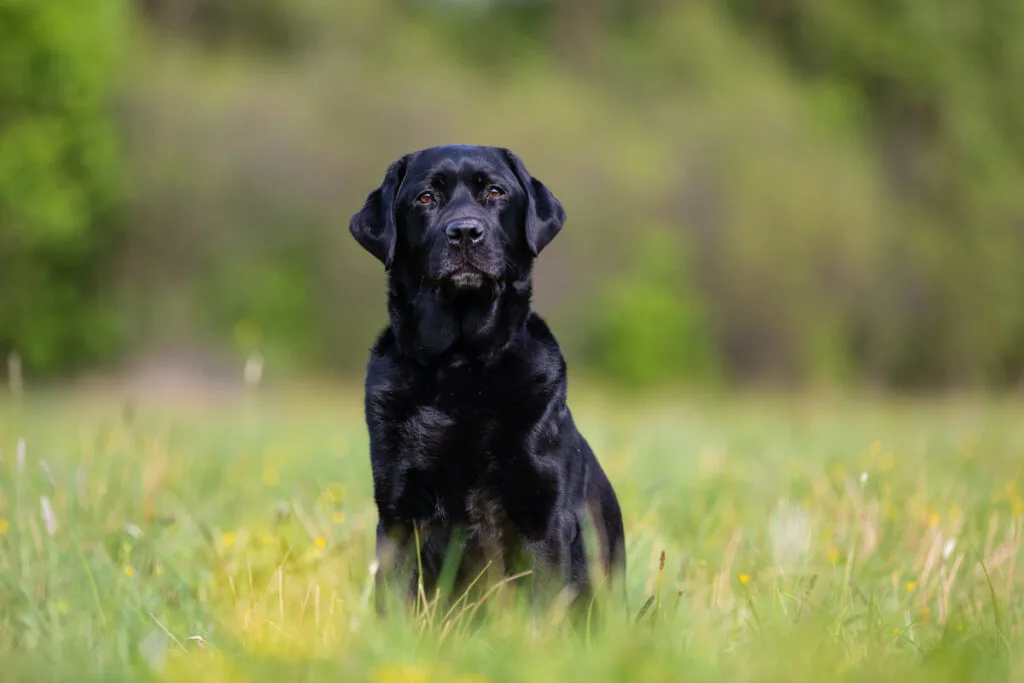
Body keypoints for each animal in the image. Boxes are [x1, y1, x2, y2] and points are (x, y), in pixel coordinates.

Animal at [350, 144, 622, 614]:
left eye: (495, 191)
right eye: (425, 198)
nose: (464, 232)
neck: (461, 369)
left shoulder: (541, 516)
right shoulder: (399, 517)